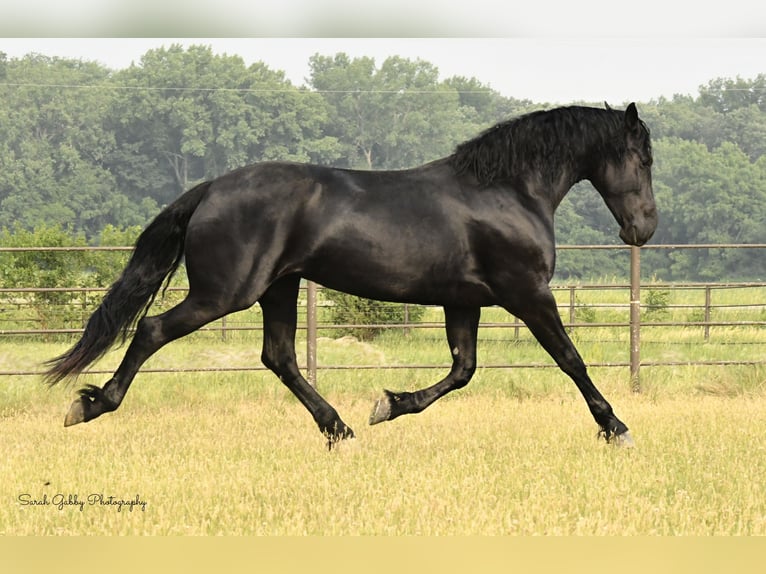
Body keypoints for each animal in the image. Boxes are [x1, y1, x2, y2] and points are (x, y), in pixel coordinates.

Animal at [46, 103, 660, 450]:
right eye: (644, 158)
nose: (645, 228)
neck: (508, 192)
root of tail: (212, 188)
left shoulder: (463, 302)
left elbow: (462, 370)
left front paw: (388, 405)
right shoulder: (528, 295)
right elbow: (571, 359)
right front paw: (617, 429)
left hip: (279, 289)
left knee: (279, 358)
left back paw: (339, 430)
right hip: (226, 293)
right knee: (152, 330)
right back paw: (91, 405)